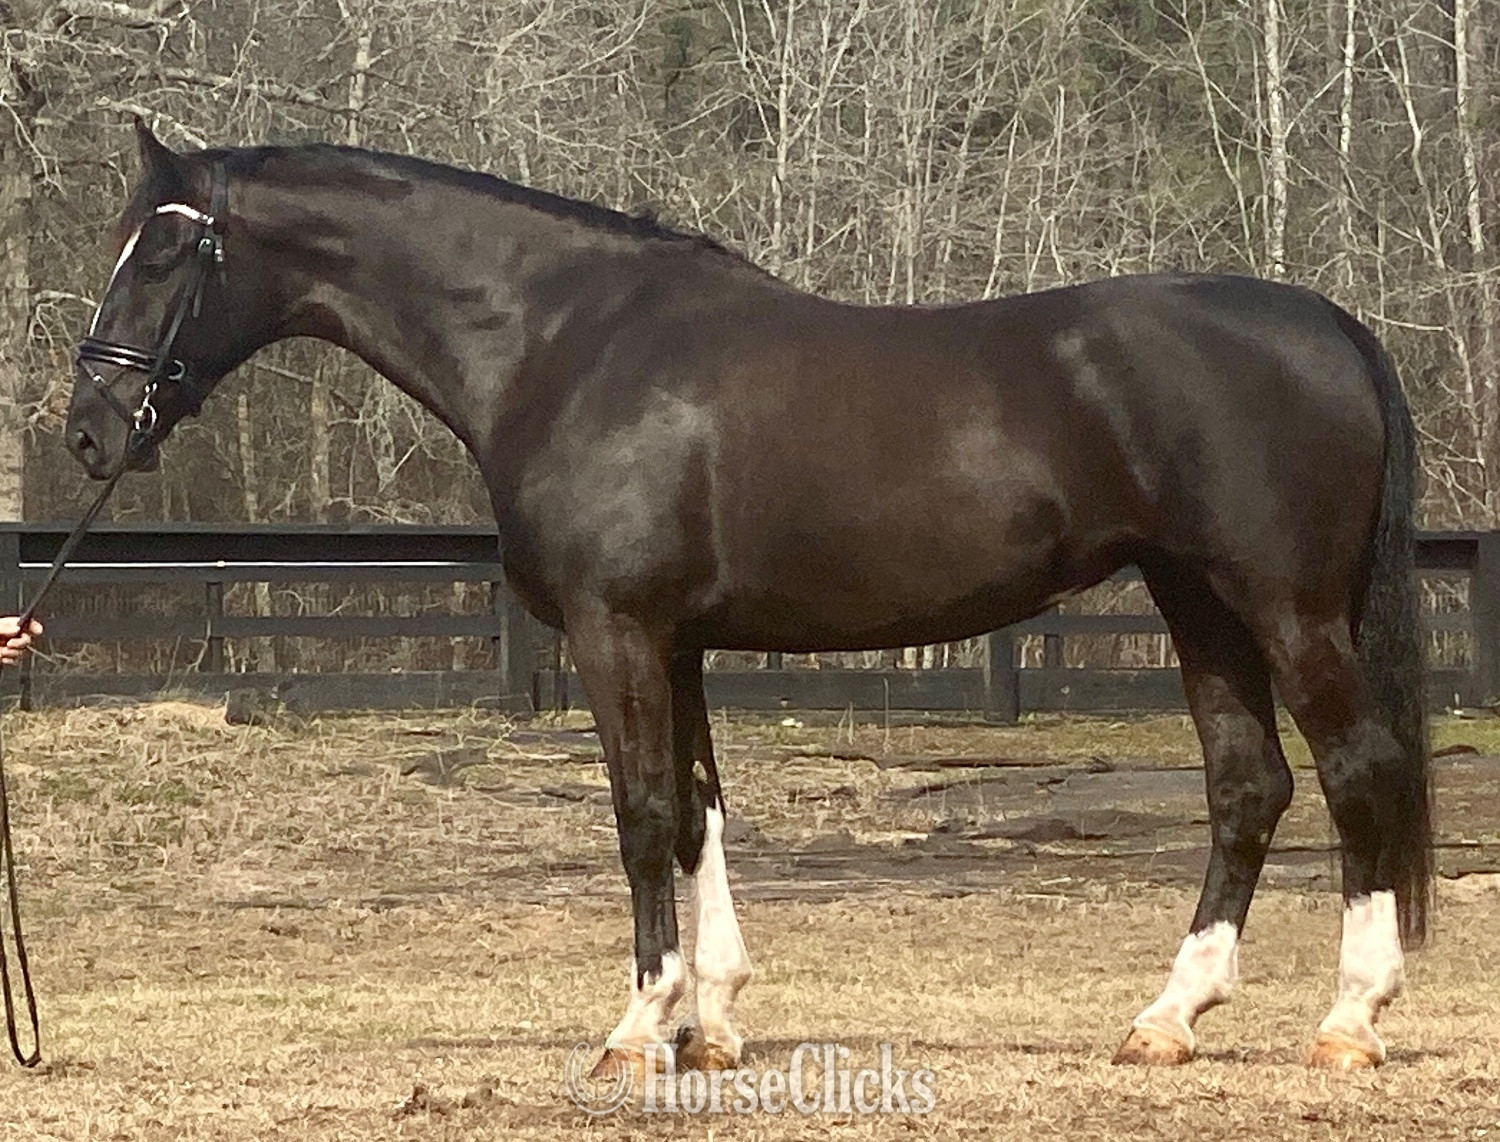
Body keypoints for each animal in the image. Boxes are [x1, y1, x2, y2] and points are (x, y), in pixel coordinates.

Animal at [65, 119, 1432, 1079]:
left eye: (168, 249)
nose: (90, 428)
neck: (565, 342)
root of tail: (1330, 323)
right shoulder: (677, 641)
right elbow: (700, 813)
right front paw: (709, 1023)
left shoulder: (618, 631)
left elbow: (640, 815)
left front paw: (636, 1027)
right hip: (1197, 603)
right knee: (1249, 784)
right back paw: (1167, 1017)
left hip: (1287, 609)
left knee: (1356, 772)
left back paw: (1349, 1018)